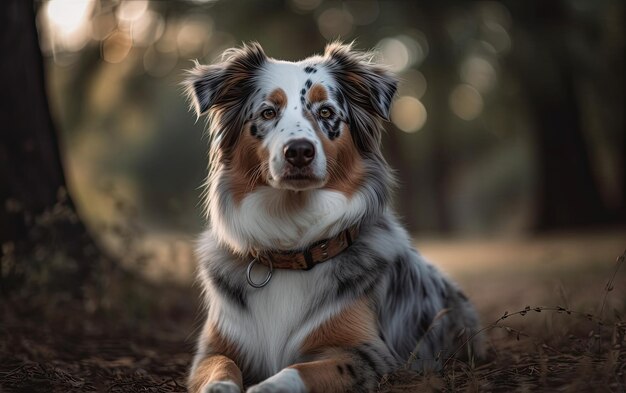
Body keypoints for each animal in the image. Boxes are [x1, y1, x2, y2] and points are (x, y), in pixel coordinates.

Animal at [183, 43, 480, 392]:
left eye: (326, 112)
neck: (291, 248)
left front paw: (266, 386)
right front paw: (220, 387)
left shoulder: (367, 353)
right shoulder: (213, 348)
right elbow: (220, 367)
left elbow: (298, 371)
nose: (299, 151)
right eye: (268, 112)